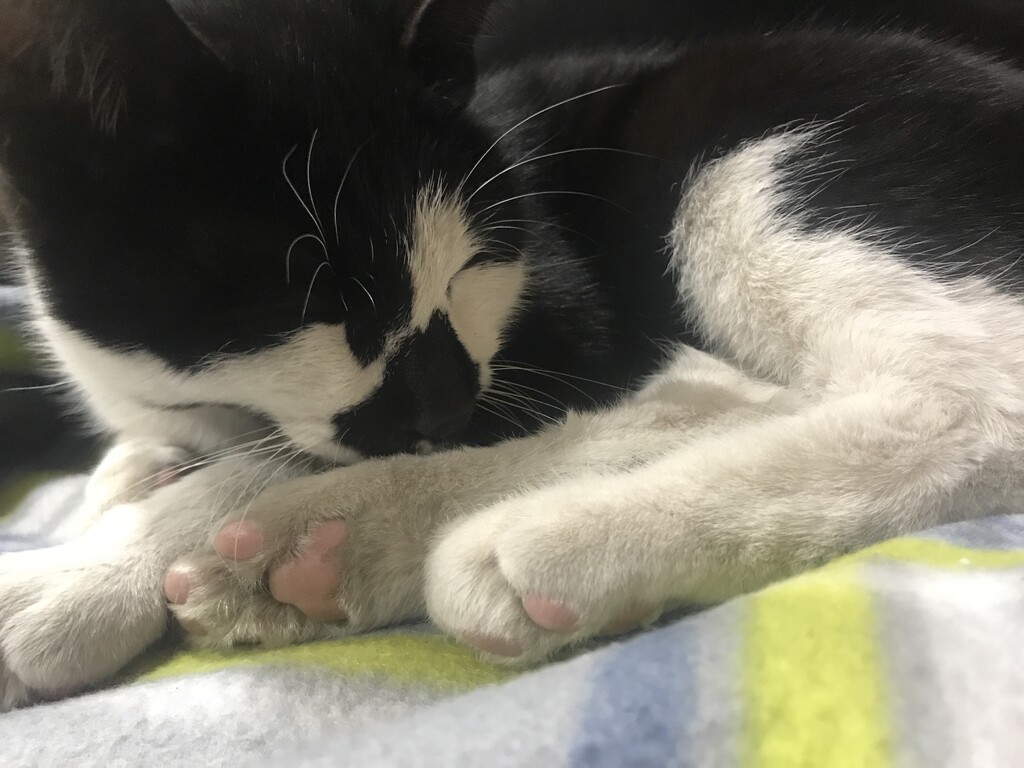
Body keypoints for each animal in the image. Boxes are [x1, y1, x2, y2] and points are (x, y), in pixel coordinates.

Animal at [1, 0, 1023, 710]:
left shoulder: (565, 327)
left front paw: (86, 567)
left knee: (949, 399)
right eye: (315, 297)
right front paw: (136, 475)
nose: (445, 401)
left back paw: (518, 541)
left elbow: (269, 461)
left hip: (733, 140)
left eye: (472, 264)